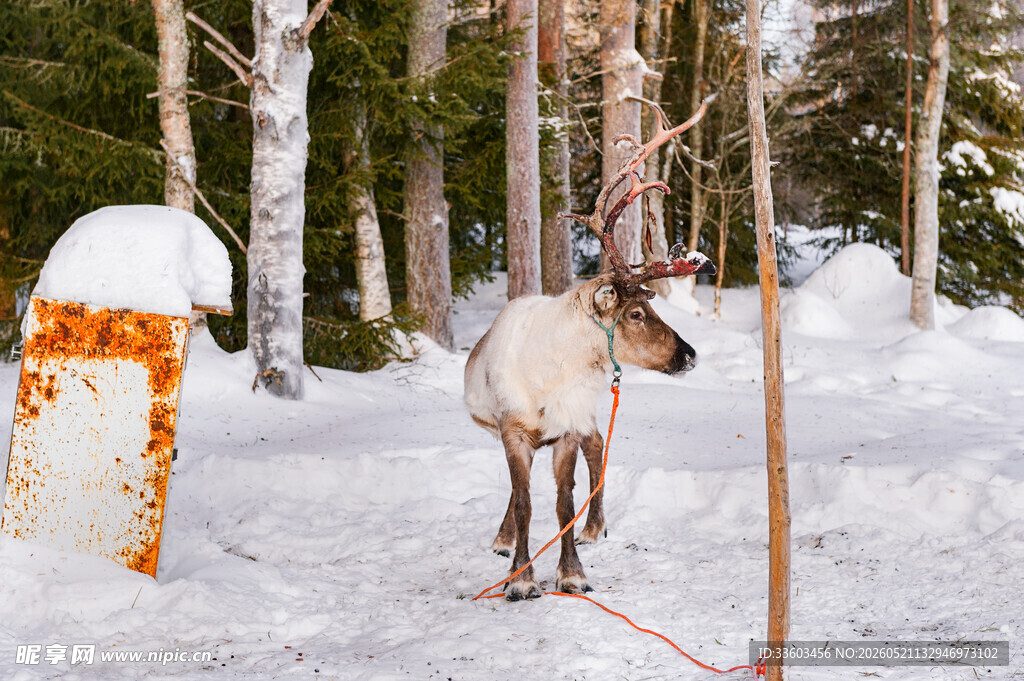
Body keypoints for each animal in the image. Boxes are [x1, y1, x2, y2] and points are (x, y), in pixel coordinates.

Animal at [464, 102, 717, 601]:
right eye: (636, 312)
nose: (689, 354)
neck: (552, 374)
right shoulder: (512, 430)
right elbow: (525, 503)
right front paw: (521, 578)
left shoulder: (567, 427)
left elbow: (564, 503)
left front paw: (571, 573)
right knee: (522, 490)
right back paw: (504, 541)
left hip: (582, 419)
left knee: (598, 443)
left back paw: (594, 527)